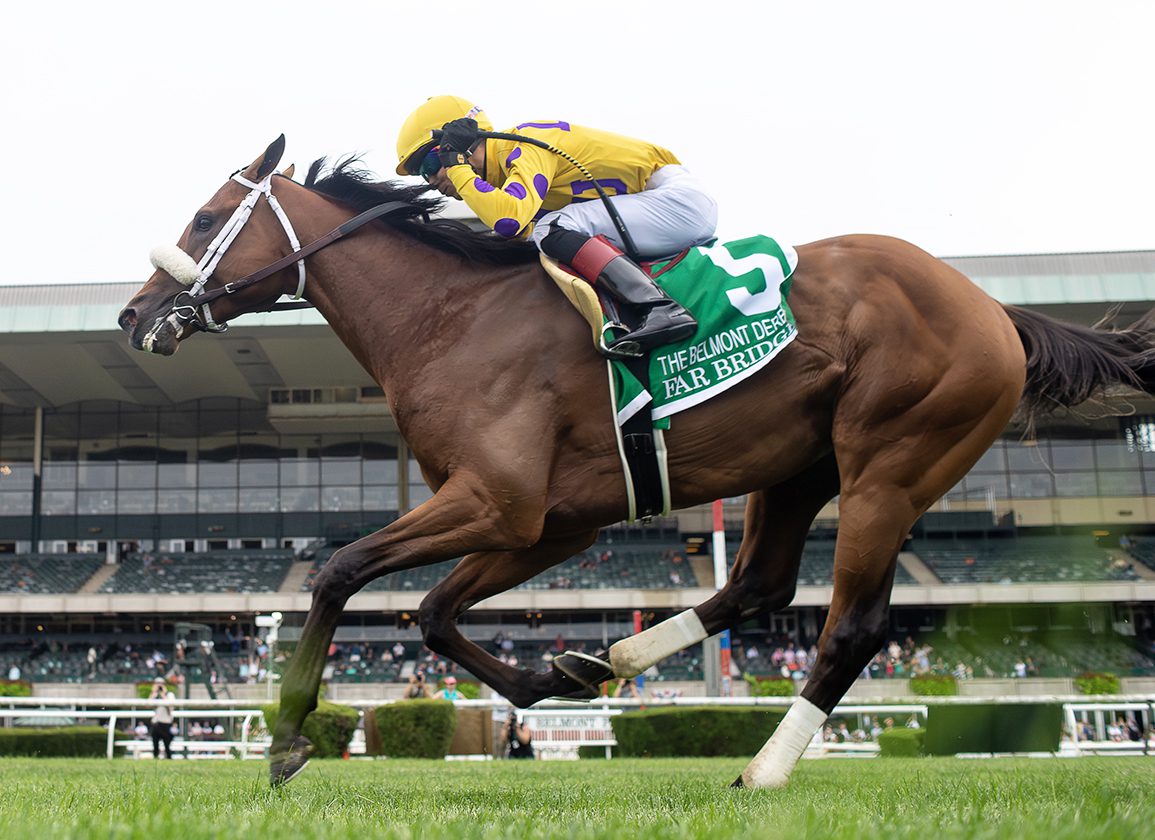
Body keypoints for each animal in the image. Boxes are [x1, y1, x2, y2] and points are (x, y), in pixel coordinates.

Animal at [119, 136, 1155, 788]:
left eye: (208, 215)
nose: (134, 316)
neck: (449, 318)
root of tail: (993, 309)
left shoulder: (498, 502)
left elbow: (340, 571)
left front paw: (289, 737)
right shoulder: (547, 522)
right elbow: (434, 613)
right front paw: (550, 680)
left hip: (890, 464)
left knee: (850, 628)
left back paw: (761, 770)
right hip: (797, 466)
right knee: (757, 587)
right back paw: (614, 655)